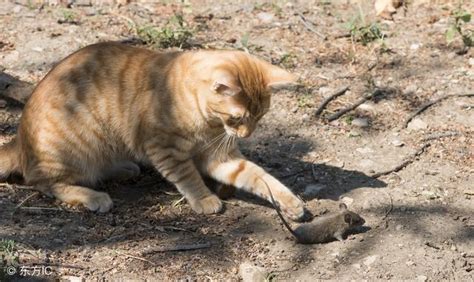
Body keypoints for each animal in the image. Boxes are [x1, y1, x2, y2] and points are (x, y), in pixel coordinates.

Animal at [0, 42, 304, 220]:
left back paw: (123, 169)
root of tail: (19, 141)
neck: (208, 122)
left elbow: (261, 177)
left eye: (260, 116)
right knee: (43, 182)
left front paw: (290, 201)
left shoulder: (221, 157)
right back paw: (94, 196)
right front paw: (205, 198)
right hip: (75, 150)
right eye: (238, 117)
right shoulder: (165, 150)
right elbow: (189, 176)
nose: (247, 135)